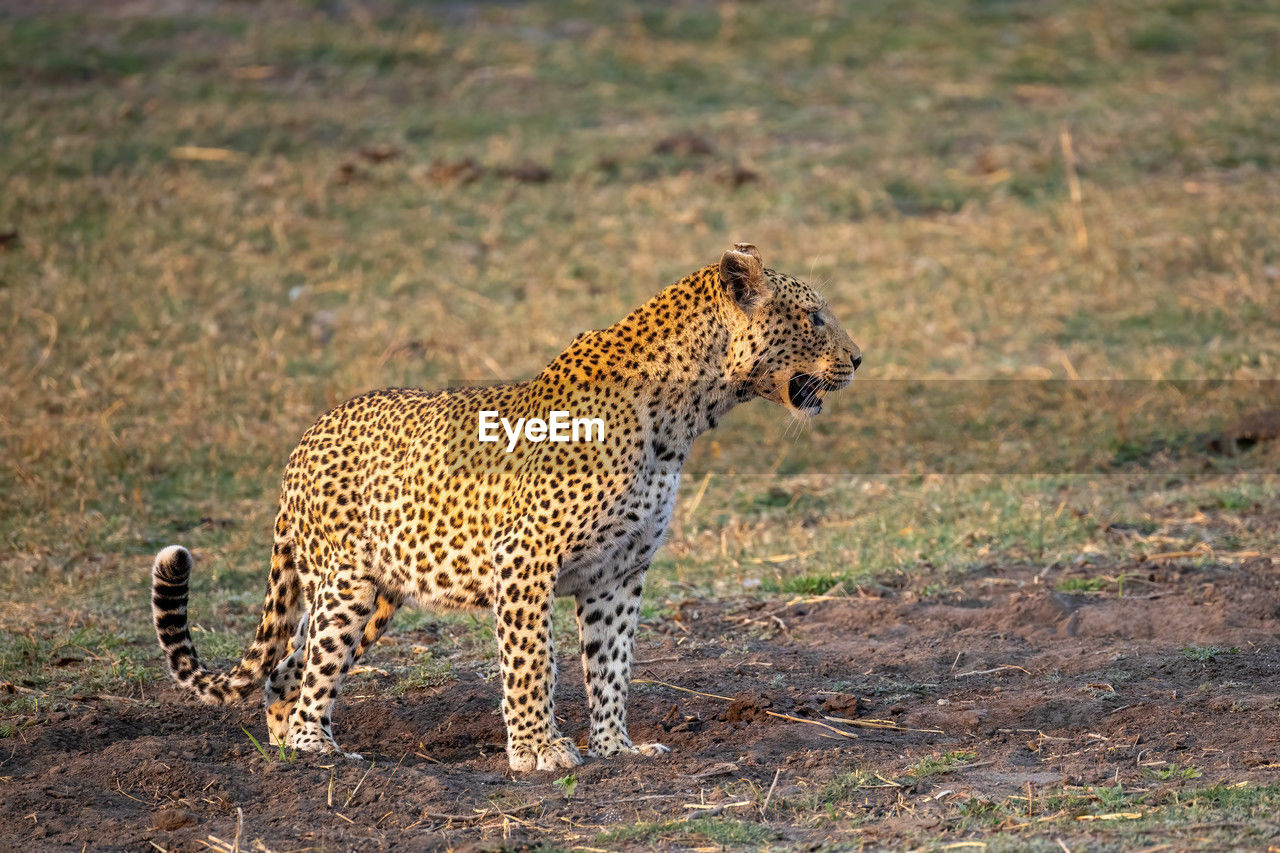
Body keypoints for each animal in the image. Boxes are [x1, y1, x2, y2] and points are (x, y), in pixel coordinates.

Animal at [151, 243, 861, 772]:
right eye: (815, 318)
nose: (858, 359)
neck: (683, 416)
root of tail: (308, 435)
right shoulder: (525, 560)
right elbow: (531, 663)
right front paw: (538, 752)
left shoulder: (619, 573)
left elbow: (611, 666)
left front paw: (616, 749)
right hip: (347, 584)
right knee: (313, 663)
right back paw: (316, 749)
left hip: (380, 591)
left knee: (289, 668)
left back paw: (289, 746)